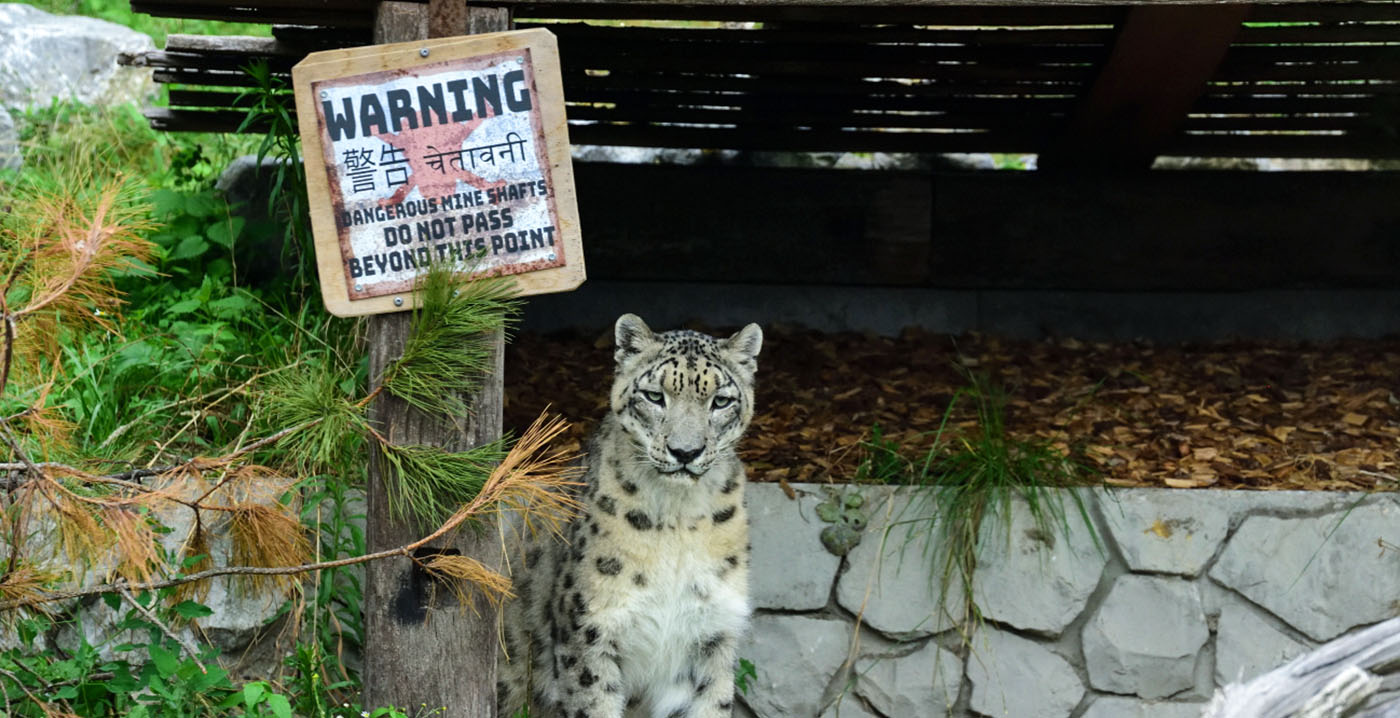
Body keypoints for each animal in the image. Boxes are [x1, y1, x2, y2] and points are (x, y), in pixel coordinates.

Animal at [498, 313, 767, 716]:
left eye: (720, 401)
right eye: (655, 396)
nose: (685, 451)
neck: (679, 518)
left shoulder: (712, 634)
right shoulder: (590, 629)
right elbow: (594, 704)